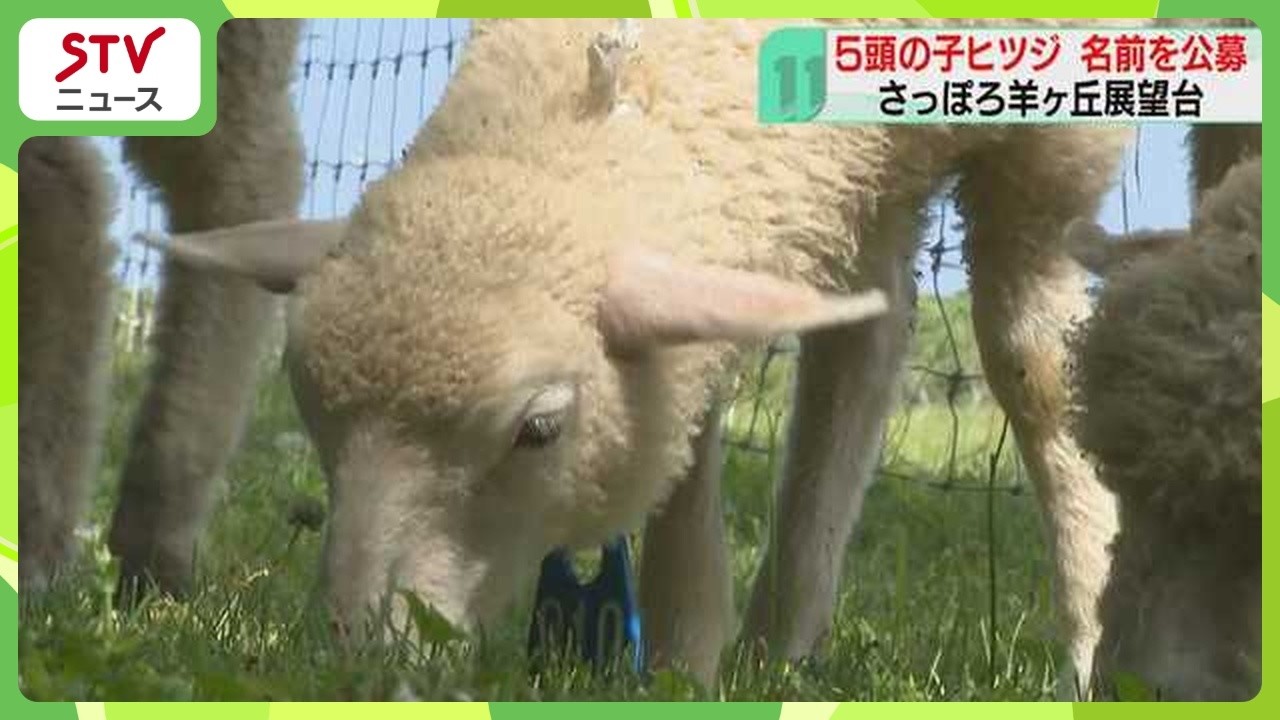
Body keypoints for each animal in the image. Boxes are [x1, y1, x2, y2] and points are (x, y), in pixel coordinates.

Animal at [134, 17, 1147, 691]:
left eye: (540, 429)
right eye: (315, 418)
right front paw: (703, 652)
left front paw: (1096, 646)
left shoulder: (1056, 134)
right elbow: (717, 405)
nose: (358, 662)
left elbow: (1035, 367)